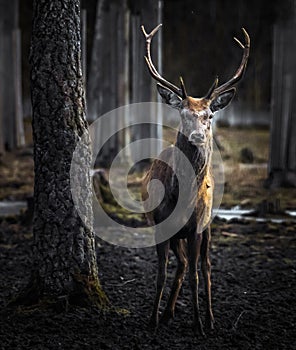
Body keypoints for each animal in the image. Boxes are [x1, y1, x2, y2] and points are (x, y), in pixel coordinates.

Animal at [141, 24, 250, 336]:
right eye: (183, 113)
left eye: (209, 115)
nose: (198, 135)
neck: (181, 196)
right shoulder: (160, 224)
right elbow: (161, 272)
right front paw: (152, 319)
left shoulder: (196, 228)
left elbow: (195, 276)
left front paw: (199, 323)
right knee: (182, 264)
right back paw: (168, 313)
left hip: (209, 224)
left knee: (205, 266)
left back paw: (211, 318)